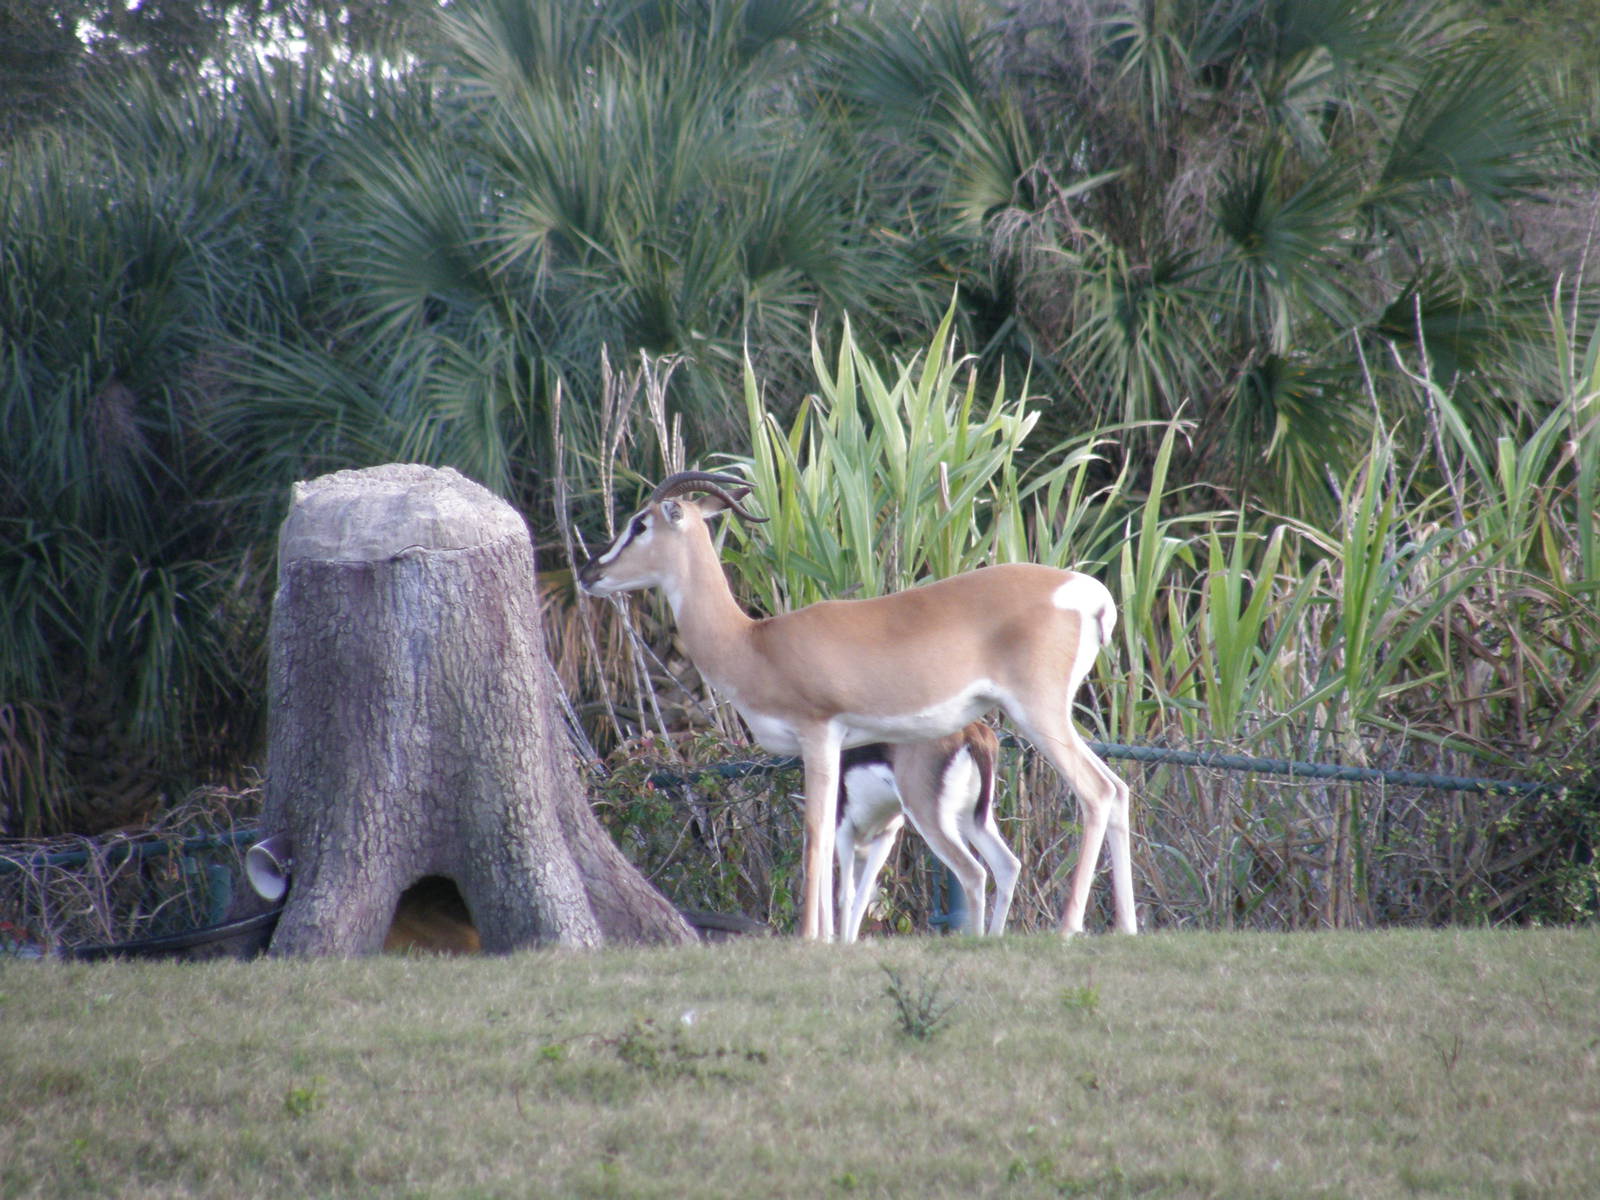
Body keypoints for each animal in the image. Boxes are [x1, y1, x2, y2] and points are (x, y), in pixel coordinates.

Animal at [837, 721, 1019, 942]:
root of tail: (972, 732)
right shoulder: (883, 837)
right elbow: (862, 894)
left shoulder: (843, 831)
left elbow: (843, 894)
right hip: (973, 819)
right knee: (1008, 865)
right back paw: (993, 936)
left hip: (930, 819)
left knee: (974, 873)